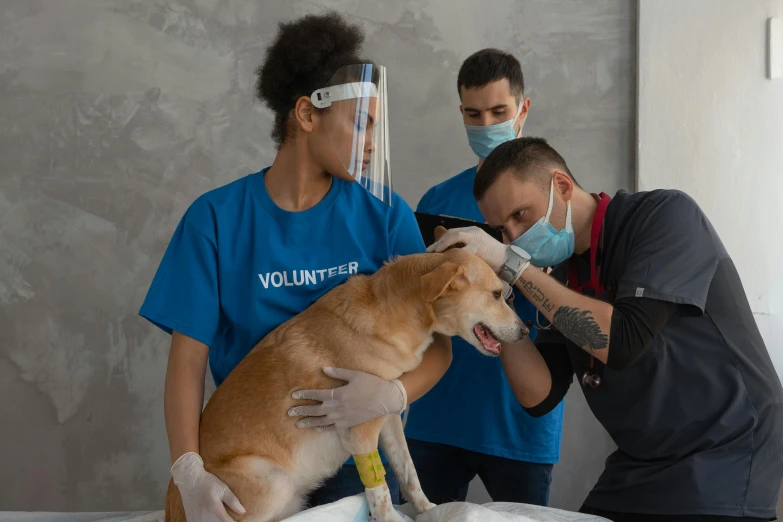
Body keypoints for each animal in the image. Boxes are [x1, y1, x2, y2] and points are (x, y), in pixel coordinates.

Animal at [168, 245, 528, 520]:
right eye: (497, 294)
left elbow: (408, 471)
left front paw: (427, 509)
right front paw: (390, 517)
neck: (393, 313)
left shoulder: (386, 413)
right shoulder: (361, 430)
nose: (526, 332)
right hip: (273, 482)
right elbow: (379, 491)